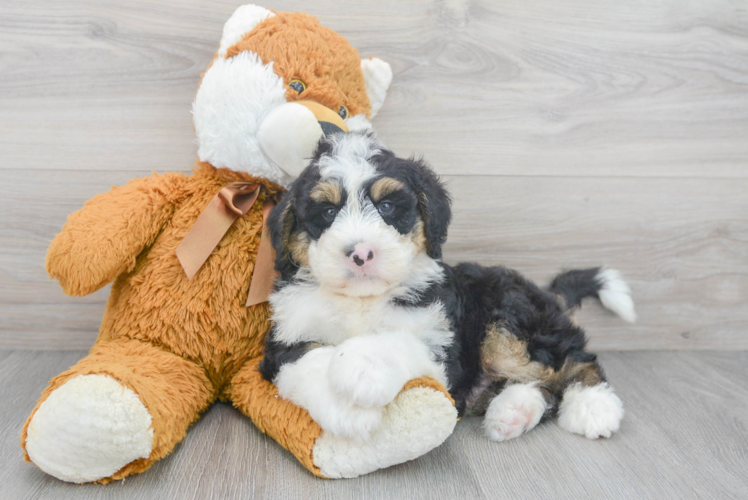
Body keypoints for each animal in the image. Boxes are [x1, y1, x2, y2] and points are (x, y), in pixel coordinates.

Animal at [260, 132, 636, 442]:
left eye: (386, 207)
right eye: (327, 212)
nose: (361, 254)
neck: (361, 300)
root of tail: (545, 295)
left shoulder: (438, 343)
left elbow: (397, 342)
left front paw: (362, 366)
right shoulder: (284, 343)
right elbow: (311, 361)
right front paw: (347, 410)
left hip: (509, 321)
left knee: (575, 362)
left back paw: (594, 406)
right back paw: (513, 412)